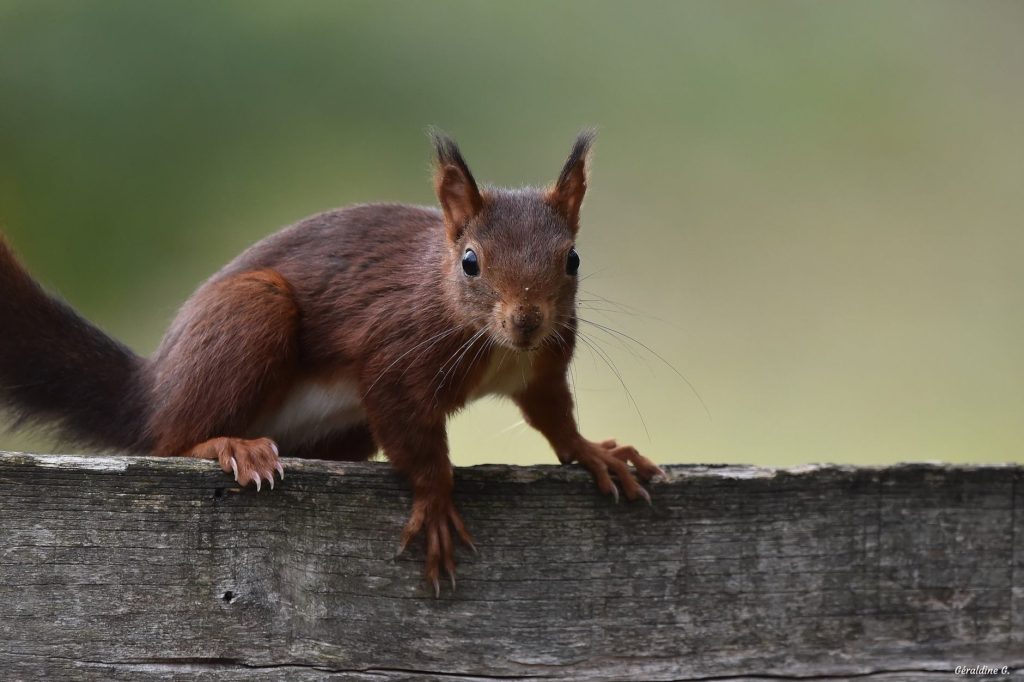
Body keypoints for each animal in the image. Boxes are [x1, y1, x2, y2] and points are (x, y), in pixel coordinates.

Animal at [0, 130, 663, 594]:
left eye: (572, 259)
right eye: (471, 261)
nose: (527, 321)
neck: (494, 345)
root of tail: (152, 388)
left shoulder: (543, 365)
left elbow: (554, 417)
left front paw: (596, 453)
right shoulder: (393, 353)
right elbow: (418, 443)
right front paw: (436, 504)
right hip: (250, 312)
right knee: (170, 440)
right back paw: (228, 445)